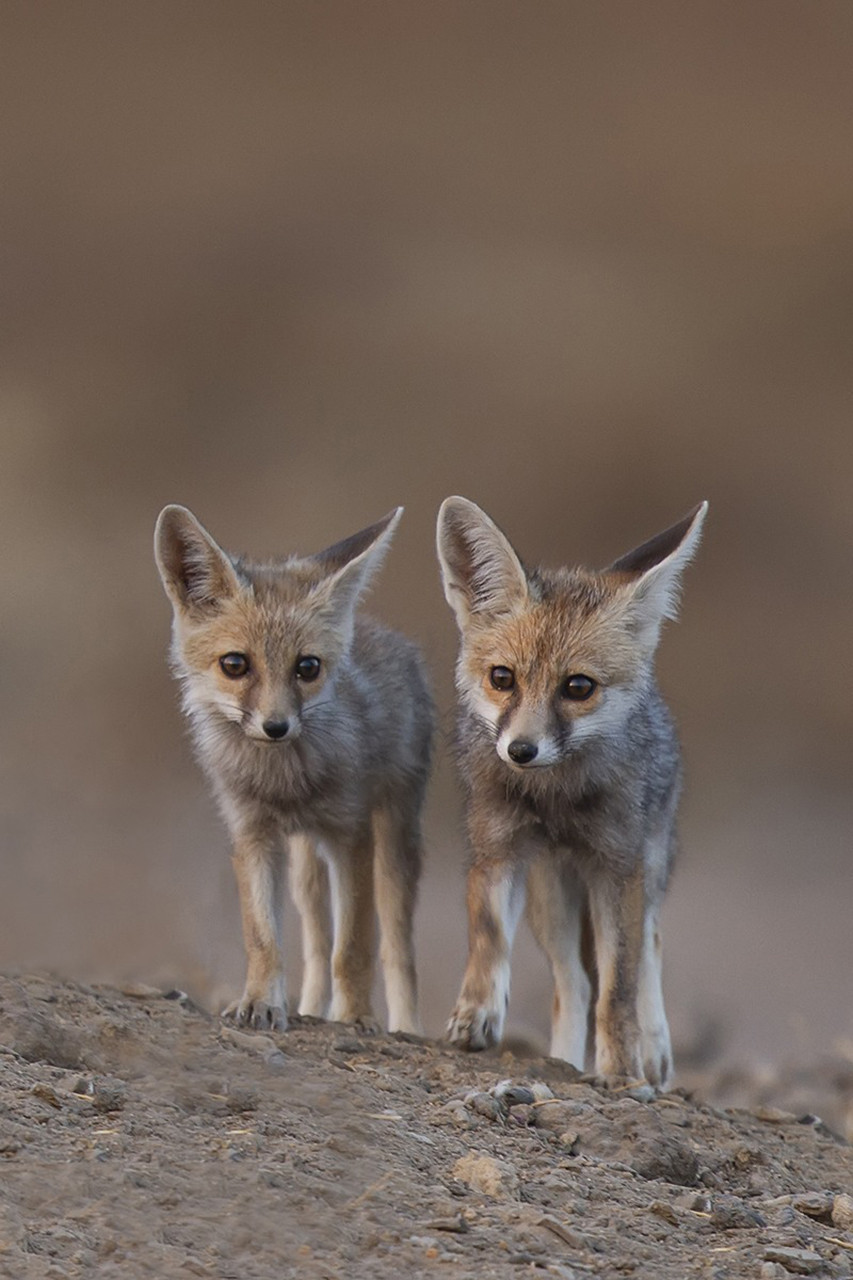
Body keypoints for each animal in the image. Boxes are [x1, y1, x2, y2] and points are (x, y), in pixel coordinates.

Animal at [154, 504, 433, 1036]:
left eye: (307, 668)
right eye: (235, 664)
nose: (276, 726)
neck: (284, 784)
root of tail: (380, 630)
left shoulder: (350, 834)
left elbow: (355, 946)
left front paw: (355, 1016)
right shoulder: (252, 833)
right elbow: (265, 938)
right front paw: (261, 1002)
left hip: (393, 843)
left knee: (397, 944)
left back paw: (405, 1026)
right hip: (305, 864)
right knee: (316, 942)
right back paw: (309, 1006)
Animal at [436, 496, 708, 1088]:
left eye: (578, 687)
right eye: (502, 678)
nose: (520, 750)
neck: (554, 798)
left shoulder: (618, 869)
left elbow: (620, 987)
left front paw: (622, 1069)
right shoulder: (498, 849)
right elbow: (489, 937)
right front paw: (476, 1014)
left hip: (648, 867)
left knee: (647, 948)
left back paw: (653, 1050)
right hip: (552, 897)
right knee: (572, 984)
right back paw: (563, 1059)